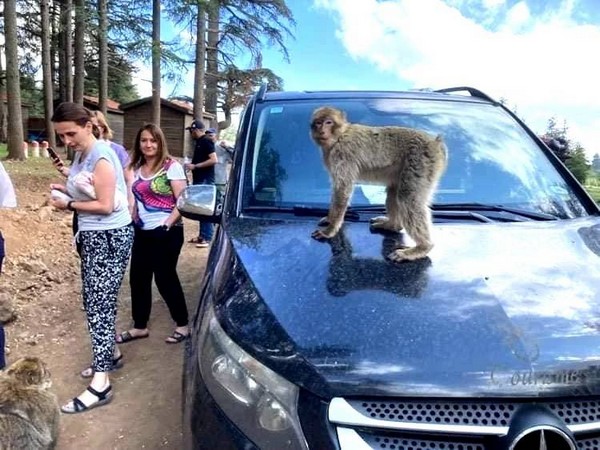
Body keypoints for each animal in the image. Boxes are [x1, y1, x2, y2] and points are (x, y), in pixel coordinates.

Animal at [312, 106, 448, 262]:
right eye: (318, 123)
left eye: (328, 122)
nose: (321, 130)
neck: (338, 137)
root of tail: (436, 143)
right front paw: (330, 219)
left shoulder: (341, 154)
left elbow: (343, 188)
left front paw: (330, 229)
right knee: (394, 192)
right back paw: (392, 225)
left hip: (421, 162)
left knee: (407, 199)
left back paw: (422, 247)